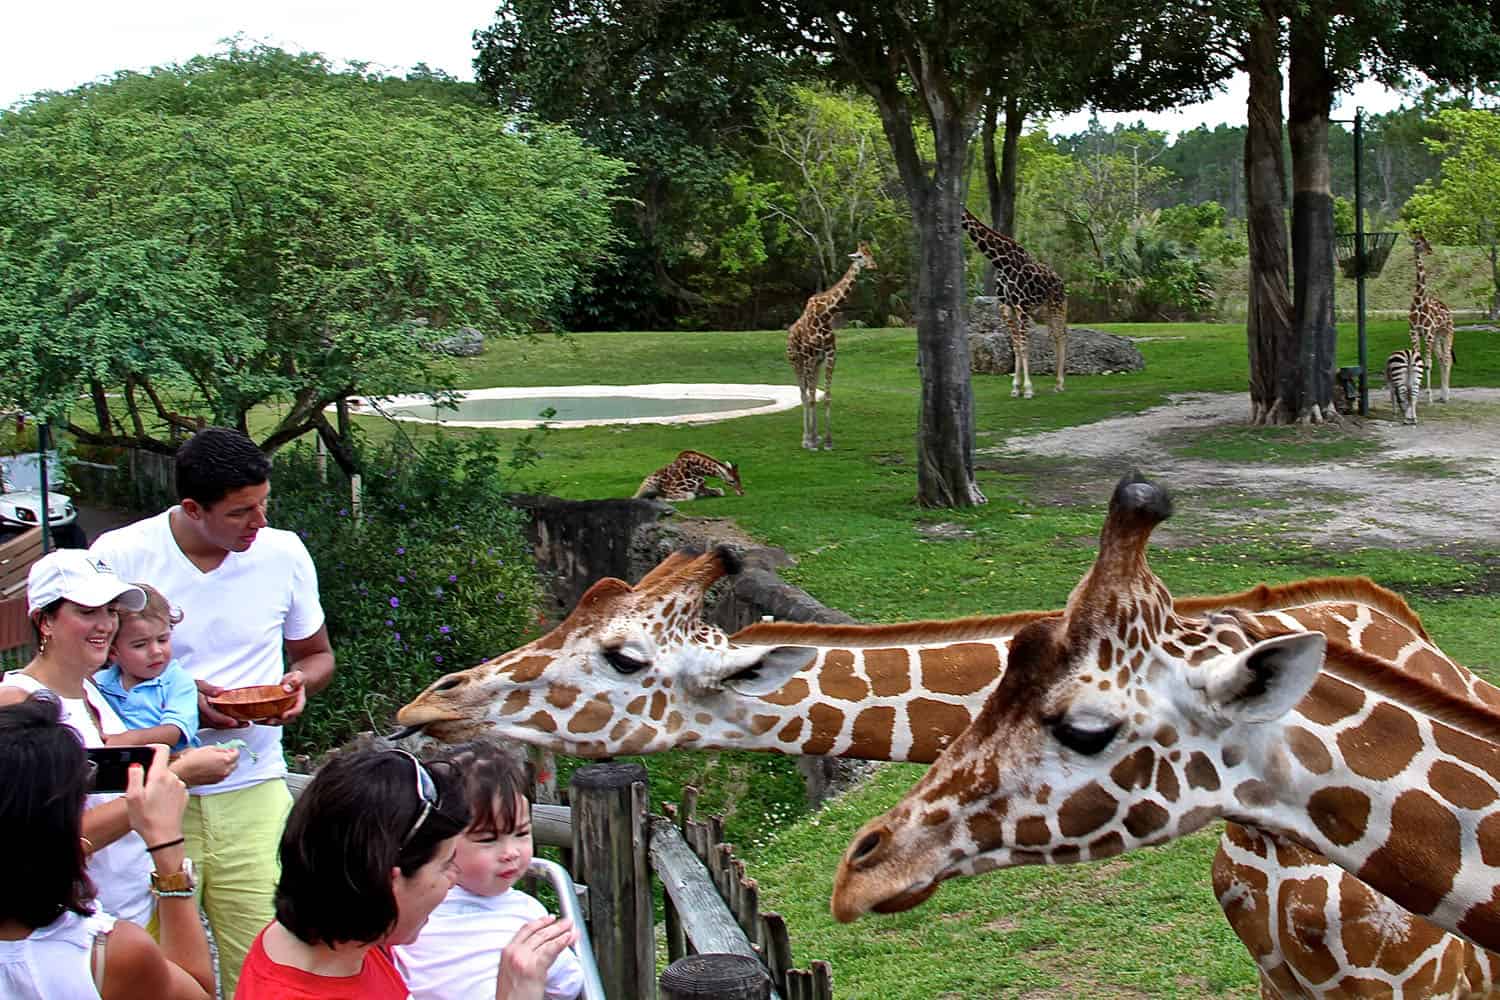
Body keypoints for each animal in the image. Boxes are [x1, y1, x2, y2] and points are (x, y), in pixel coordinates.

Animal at [786, 242, 876, 449]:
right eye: (860, 256)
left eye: (872, 254)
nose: (874, 266)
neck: (825, 315)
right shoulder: (810, 357)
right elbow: (811, 397)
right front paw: (811, 442)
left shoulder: (829, 356)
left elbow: (826, 396)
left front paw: (826, 441)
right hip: (796, 361)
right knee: (804, 394)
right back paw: (806, 437)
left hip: (815, 364)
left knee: (810, 391)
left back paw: (815, 435)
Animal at [960, 209, 1068, 395]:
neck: (1001, 262)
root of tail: (1061, 281)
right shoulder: (1007, 307)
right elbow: (1016, 346)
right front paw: (1016, 388)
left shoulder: (1022, 306)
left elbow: (1024, 346)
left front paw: (1028, 389)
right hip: (1042, 311)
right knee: (1056, 335)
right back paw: (1056, 383)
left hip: (1057, 305)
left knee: (1061, 336)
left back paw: (1059, 384)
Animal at [1404, 232, 1452, 404]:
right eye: (1418, 242)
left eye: (1427, 241)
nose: (1430, 250)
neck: (1419, 303)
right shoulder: (1414, 332)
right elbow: (1417, 361)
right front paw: (1415, 396)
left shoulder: (1428, 333)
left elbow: (1428, 363)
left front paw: (1429, 395)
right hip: (1438, 336)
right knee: (1441, 359)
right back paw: (1442, 395)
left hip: (1447, 333)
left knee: (1447, 358)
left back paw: (1446, 395)